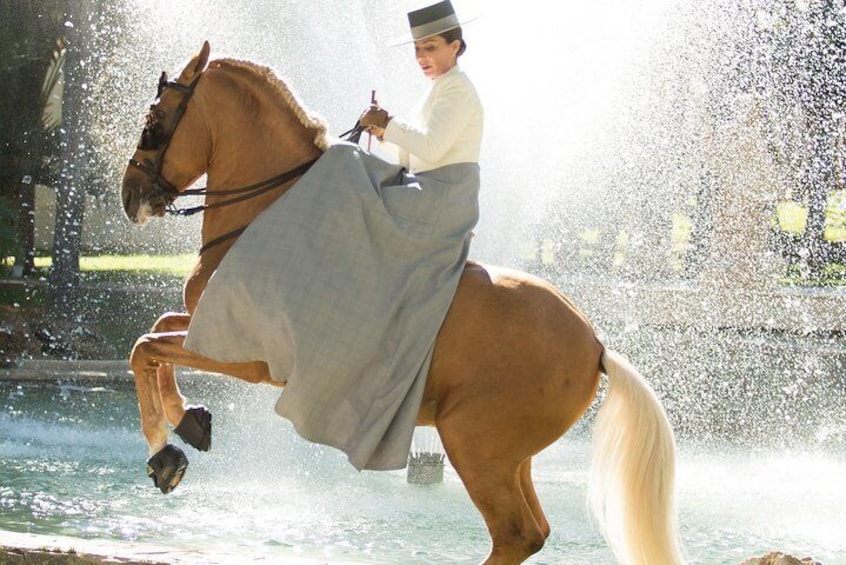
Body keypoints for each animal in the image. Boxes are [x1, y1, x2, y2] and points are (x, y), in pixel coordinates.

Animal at [121, 40, 684, 564]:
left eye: (154, 122)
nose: (130, 194)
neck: (269, 213)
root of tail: (596, 344)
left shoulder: (247, 358)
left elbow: (144, 345)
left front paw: (164, 454)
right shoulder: (206, 324)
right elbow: (158, 327)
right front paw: (189, 419)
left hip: (475, 446)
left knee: (516, 532)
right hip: (510, 457)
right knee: (534, 531)